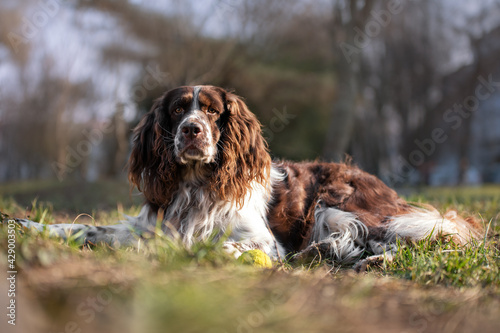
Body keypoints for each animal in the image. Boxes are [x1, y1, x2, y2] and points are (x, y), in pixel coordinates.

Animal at [11, 85, 482, 268]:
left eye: (212, 111)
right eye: (177, 110)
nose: (192, 130)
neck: (196, 187)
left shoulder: (262, 241)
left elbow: (227, 246)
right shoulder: (150, 228)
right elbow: (85, 228)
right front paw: (26, 225)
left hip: (335, 203)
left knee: (409, 239)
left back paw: (365, 258)